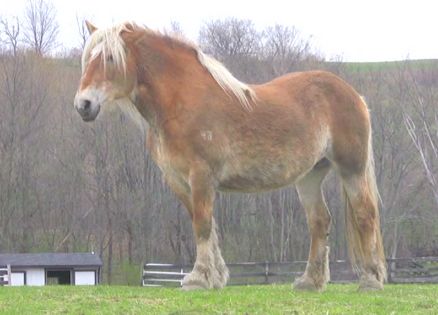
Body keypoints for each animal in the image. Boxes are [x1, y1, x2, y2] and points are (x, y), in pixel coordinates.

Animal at [75, 21, 386, 292]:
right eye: (88, 59)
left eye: (110, 59)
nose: (83, 105)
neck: (182, 102)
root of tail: (354, 95)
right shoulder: (179, 181)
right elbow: (206, 225)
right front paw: (215, 277)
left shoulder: (201, 176)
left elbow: (202, 224)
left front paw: (198, 279)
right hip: (310, 176)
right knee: (319, 221)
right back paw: (310, 282)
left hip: (352, 169)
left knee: (365, 215)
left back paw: (371, 280)